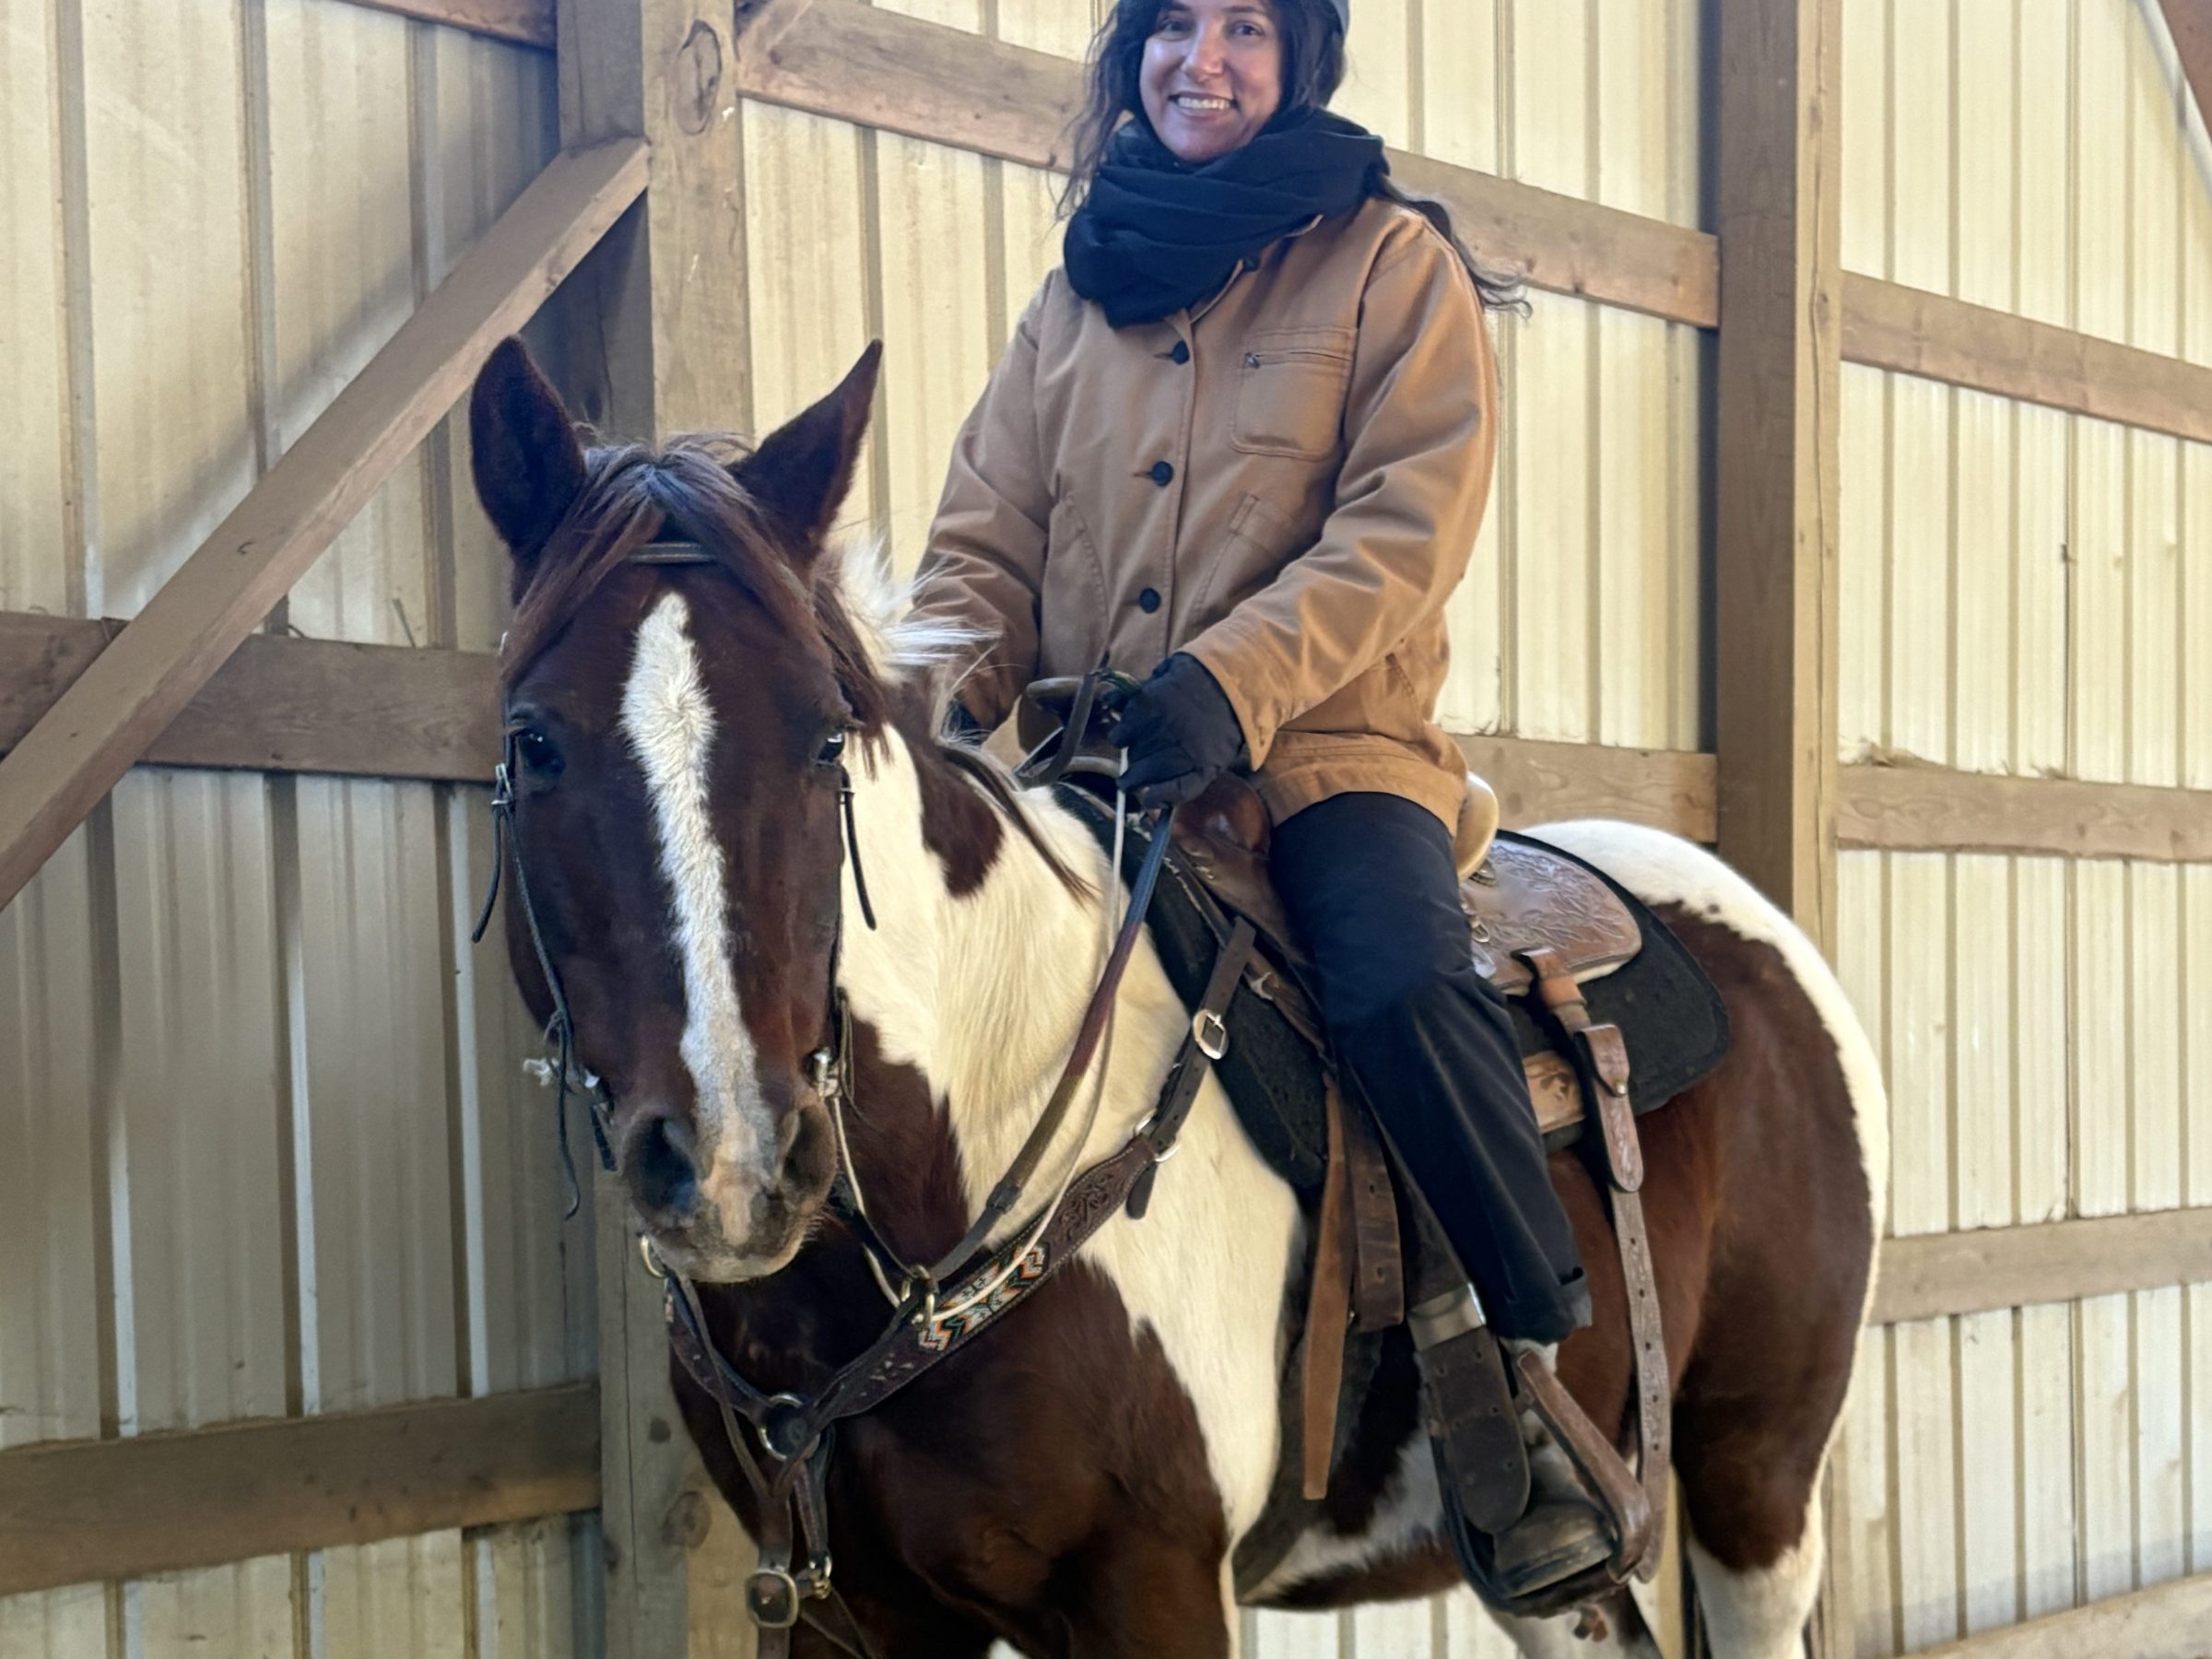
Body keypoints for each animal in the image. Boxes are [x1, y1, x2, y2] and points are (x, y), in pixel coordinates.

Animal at [466, 335, 1884, 1659]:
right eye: (531, 743)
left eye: (825, 739)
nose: (734, 1164)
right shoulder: (844, 1614)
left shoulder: (1153, 1589)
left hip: (1758, 1477)